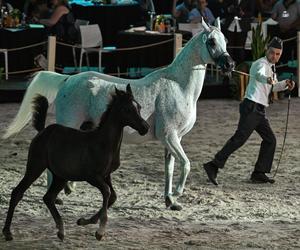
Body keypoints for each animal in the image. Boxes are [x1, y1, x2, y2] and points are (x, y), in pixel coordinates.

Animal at [1, 85, 148, 241]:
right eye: (127, 109)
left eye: (139, 107)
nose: (145, 127)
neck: (103, 144)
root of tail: (42, 132)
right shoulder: (92, 177)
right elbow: (107, 192)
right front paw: (99, 232)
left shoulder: (106, 175)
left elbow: (112, 196)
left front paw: (84, 221)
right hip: (35, 167)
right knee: (18, 192)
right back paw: (7, 232)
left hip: (60, 176)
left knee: (48, 198)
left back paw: (61, 230)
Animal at [4, 19, 234, 210]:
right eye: (211, 41)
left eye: (225, 40)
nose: (229, 64)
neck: (178, 86)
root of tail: (67, 79)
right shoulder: (170, 136)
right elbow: (186, 164)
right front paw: (177, 193)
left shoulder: (172, 139)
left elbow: (169, 168)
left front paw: (170, 201)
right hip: (69, 124)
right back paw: (60, 194)